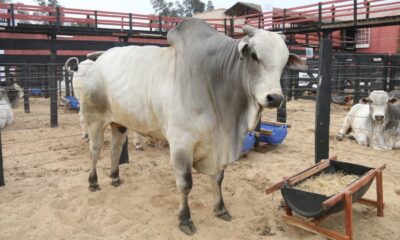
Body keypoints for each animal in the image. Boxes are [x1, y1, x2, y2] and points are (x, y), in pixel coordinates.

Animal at [80, 18, 306, 234]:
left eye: (284, 62)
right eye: (254, 55)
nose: (275, 98)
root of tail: (99, 60)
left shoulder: (217, 146)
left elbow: (218, 178)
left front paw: (221, 209)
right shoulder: (181, 144)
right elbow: (185, 184)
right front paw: (185, 219)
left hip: (119, 124)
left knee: (115, 149)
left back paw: (115, 178)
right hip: (94, 119)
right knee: (95, 150)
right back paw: (93, 182)